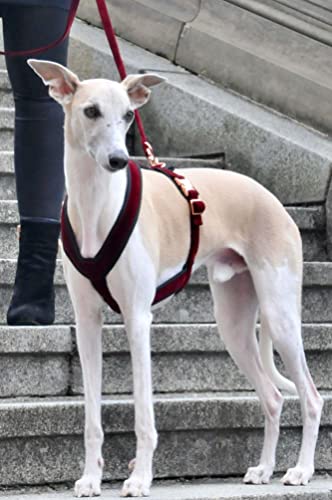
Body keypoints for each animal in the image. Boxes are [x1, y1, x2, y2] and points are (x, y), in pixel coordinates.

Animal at [28, 58, 324, 496]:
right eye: (91, 111)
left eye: (128, 115)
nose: (119, 160)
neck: (97, 205)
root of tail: (272, 200)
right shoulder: (86, 323)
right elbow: (92, 417)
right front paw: (91, 479)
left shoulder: (137, 319)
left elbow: (144, 414)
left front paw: (138, 478)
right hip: (234, 324)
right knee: (272, 397)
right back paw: (263, 469)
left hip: (280, 314)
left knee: (312, 397)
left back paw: (301, 470)